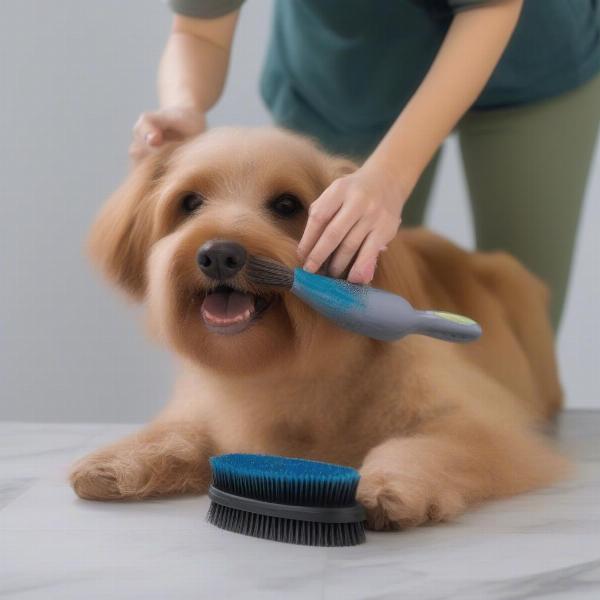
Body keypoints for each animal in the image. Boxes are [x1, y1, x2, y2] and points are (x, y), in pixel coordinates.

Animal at [70, 127, 568, 528]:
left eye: (287, 204)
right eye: (189, 202)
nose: (219, 254)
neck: (288, 367)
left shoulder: (481, 427)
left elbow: (425, 446)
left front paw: (388, 485)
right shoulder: (215, 416)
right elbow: (179, 435)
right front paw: (116, 460)